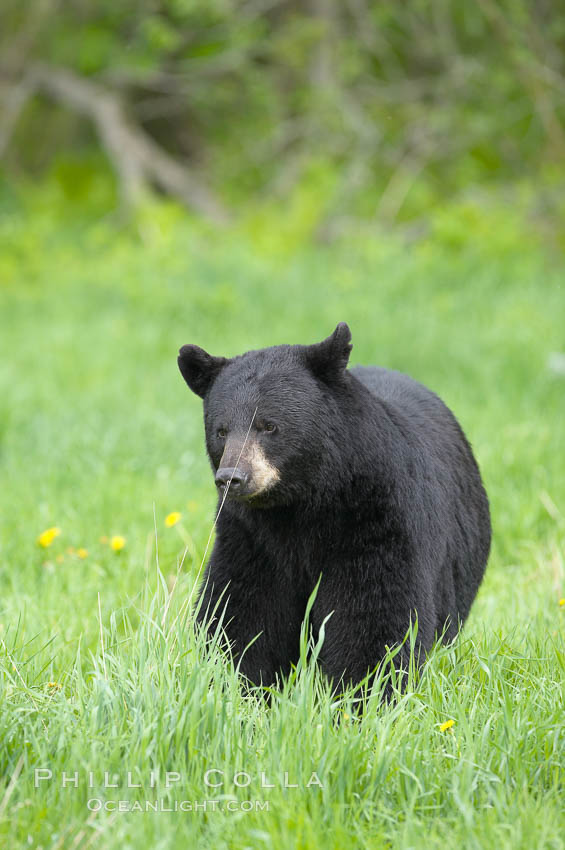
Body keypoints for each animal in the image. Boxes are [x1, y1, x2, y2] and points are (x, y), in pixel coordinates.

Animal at [177, 322, 490, 688]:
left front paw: (363, 691)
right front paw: (240, 684)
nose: (232, 477)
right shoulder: (249, 534)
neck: (303, 503)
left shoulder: (379, 518)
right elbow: (244, 610)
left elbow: (376, 613)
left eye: (269, 425)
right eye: (221, 431)